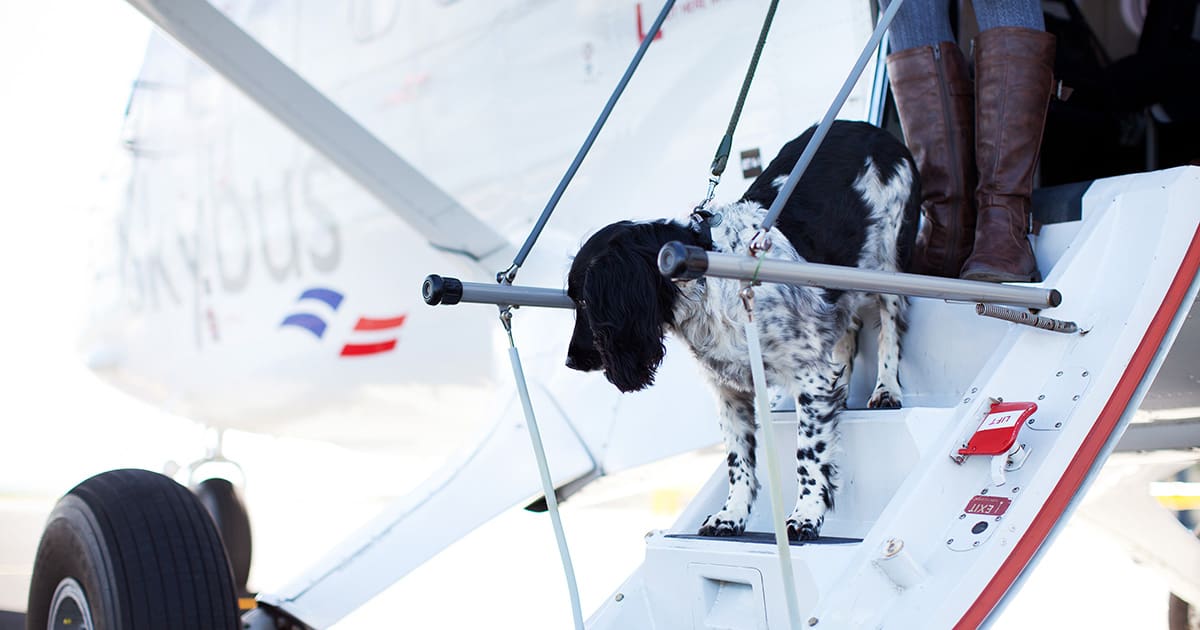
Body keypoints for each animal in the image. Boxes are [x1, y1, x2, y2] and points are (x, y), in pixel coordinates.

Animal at [561, 120, 916, 537]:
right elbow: (738, 462)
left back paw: (886, 388)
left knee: (890, 327)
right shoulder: (729, 391)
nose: (569, 361)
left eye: (585, 302)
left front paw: (806, 515)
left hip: (890, 263)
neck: (708, 279)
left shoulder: (807, 373)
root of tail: (874, 130)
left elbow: (807, 455)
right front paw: (730, 515)